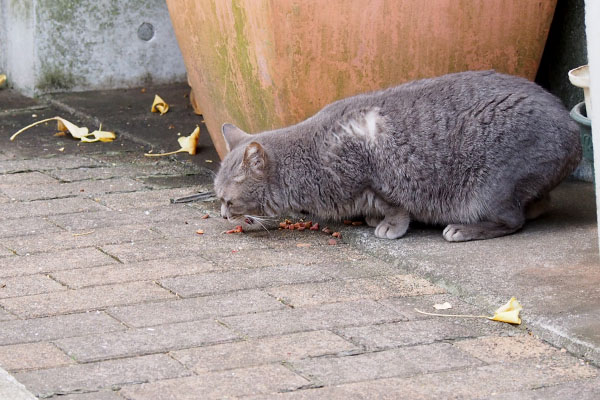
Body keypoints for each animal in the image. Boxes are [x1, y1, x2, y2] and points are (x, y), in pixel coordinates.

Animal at [214, 70, 580, 242]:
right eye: (218, 198)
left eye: (228, 201)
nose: (222, 215)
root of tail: (574, 132)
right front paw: (371, 218)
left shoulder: (379, 177)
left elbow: (396, 206)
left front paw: (388, 225)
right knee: (537, 205)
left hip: (488, 190)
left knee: (513, 220)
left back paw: (461, 229)